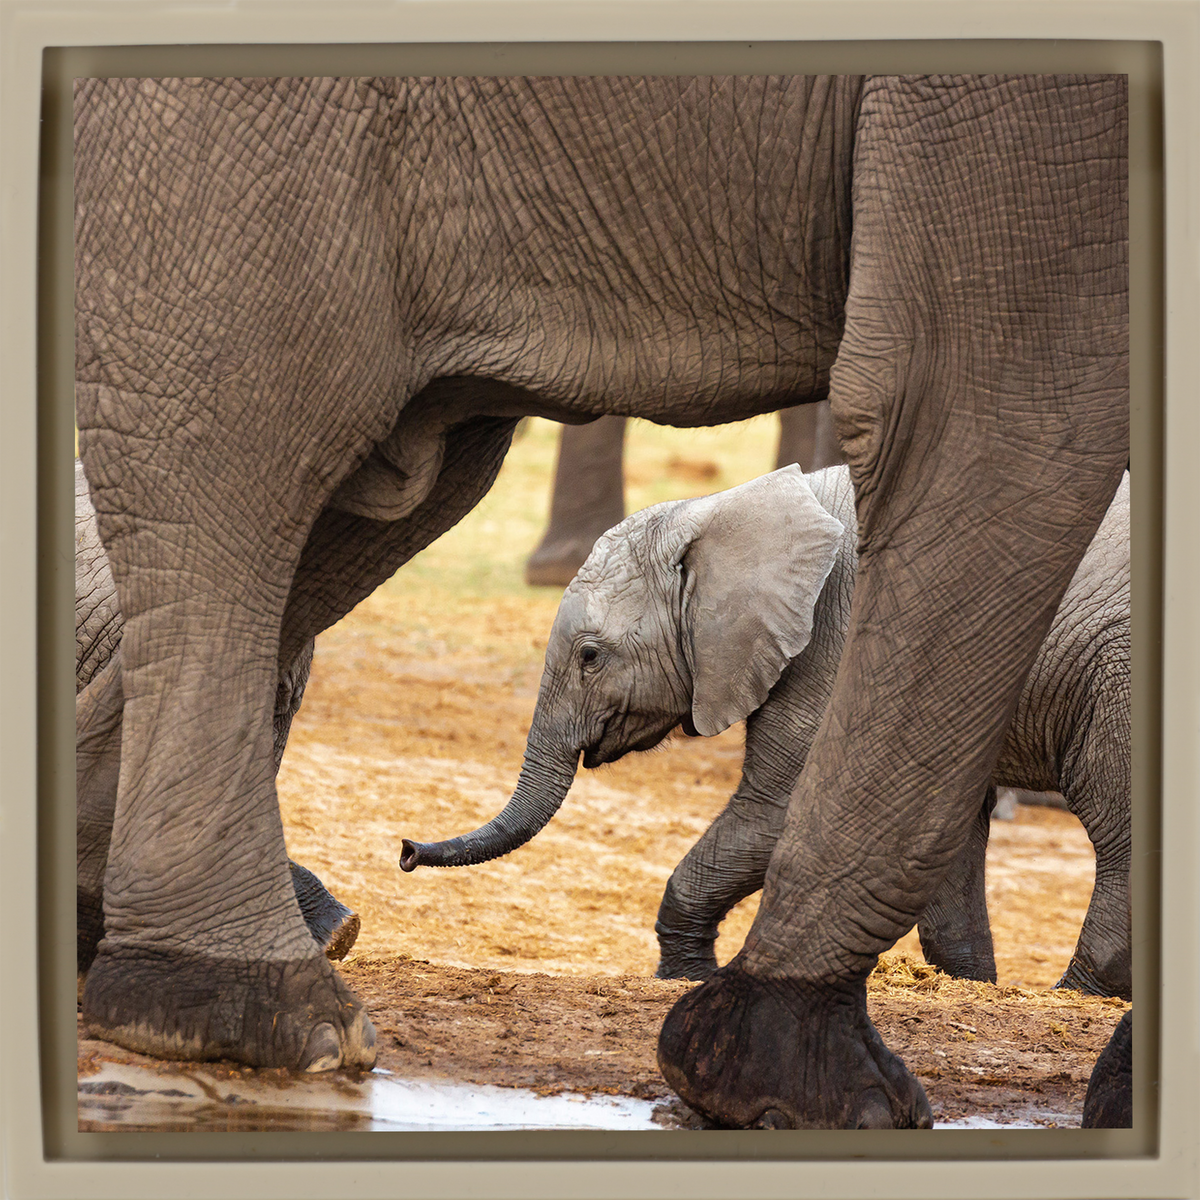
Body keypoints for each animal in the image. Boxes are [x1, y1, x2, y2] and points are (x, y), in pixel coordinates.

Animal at [402, 464, 1132, 1000]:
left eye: (589, 656)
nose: (406, 850)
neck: (730, 510)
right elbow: (938, 827)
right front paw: (969, 985)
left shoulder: (841, 645)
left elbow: (787, 810)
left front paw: (687, 978)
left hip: (1117, 673)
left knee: (1116, 828)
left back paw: (1080, 994)